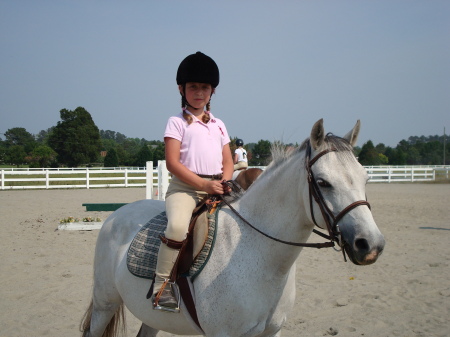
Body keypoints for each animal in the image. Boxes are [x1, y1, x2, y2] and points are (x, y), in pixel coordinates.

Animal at [81, 119, 384, 334]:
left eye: (366, 178)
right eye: (323, 182)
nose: (370, 245)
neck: (260, 254)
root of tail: (118, 215)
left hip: (151, 317)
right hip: (105, 304)